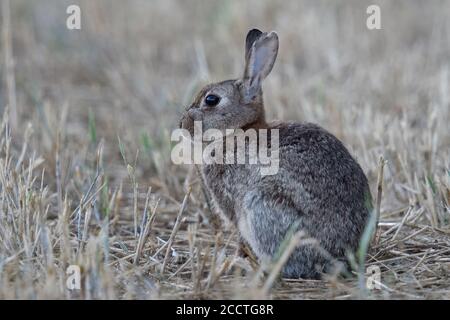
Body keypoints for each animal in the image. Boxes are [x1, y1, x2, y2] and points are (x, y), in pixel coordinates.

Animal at [179, 28, 372, 278]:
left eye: (211, 100)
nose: (182, 124)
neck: (240, 129)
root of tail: (342, 257)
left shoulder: (234, 206)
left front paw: (235, 259)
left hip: (262, 204)